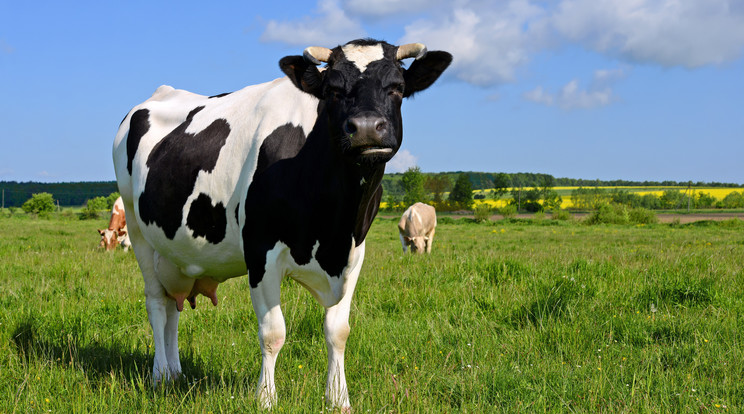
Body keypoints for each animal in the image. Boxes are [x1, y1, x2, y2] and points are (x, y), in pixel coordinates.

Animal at [110, 39, 448, 410]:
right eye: (333, 90)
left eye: (397, 88)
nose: (366, 127)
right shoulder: (261, 251)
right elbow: (273, 332)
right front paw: (266, 399)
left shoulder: (354, 252)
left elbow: (338, 331)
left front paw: (338, 398)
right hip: (138, 231)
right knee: (157, 303)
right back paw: (159, 375)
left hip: (174, 254)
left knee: (174, 307)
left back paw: (175, 373)